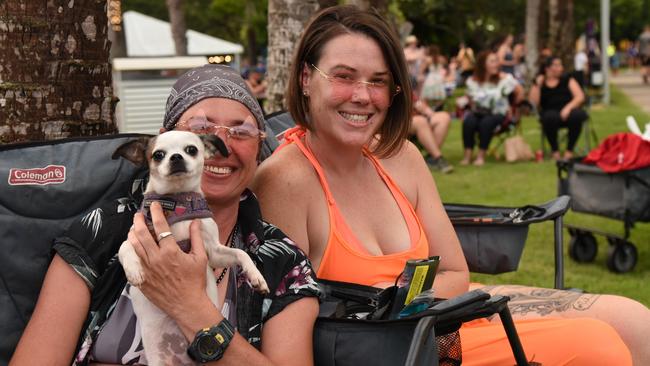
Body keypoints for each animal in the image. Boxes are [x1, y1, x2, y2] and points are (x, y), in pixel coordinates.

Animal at [114, 130, 268, 364]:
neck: (178, 201)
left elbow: (241, 252)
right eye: (158, 155)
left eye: (191, 150)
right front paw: (134, 271)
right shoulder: (137, 235)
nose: (176, 157)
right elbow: (125, 248)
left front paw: (256, 276)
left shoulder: (213, 252)